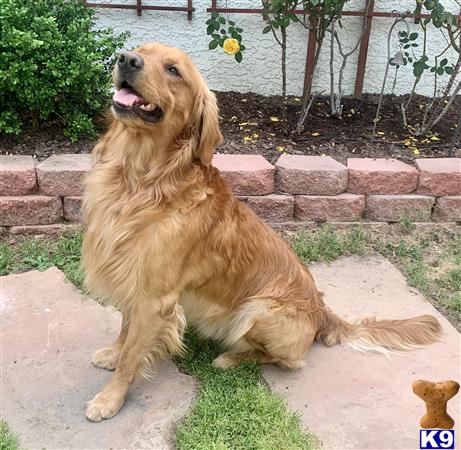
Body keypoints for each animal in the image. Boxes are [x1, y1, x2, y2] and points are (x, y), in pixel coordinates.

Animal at [81, 42, 440, 422]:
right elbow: (126, 329)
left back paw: (230, 358)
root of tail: (322, 311)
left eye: (173, 70)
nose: (126, 59)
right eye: (140, 50)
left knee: (287, 360)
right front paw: (113, 353)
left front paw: (110, 398)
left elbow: (134, 353)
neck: (143, 179)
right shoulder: (134, 279)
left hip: (258, 310)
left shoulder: (155, 296)